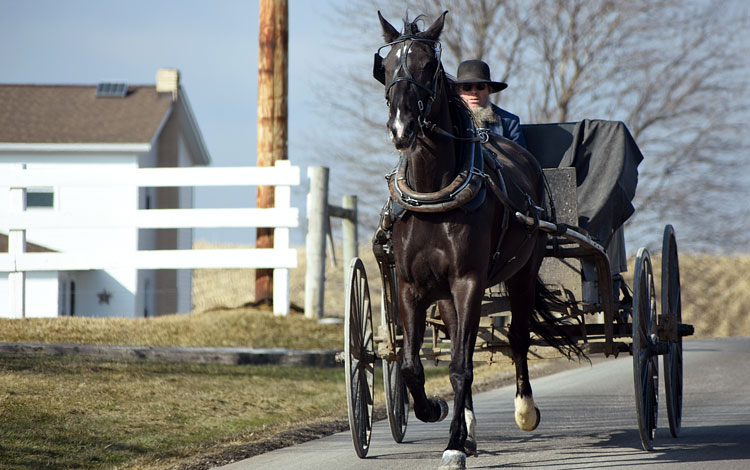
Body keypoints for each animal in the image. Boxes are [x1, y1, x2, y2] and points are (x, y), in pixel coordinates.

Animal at [378, 11, 584, 470]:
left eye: (428, 65)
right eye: (387, 66)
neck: (435, 193)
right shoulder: (412, 286)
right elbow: (411, 365)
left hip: (521, 273)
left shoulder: (468, 281)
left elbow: (459, 367)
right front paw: (433, 410)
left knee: (519, 338)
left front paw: (453, 445)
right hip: (445, 295)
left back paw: (524, 411)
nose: (401, 127)